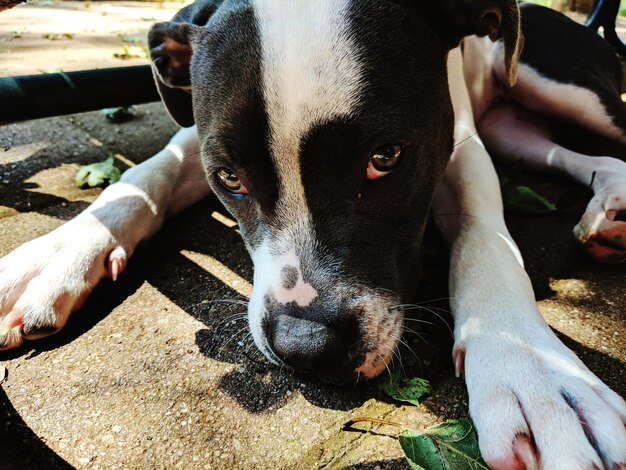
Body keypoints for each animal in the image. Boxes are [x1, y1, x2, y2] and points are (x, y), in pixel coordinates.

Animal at [1, 1, 624, 468]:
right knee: (577, 157)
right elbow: (146, 173)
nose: (306, 347)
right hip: (514, 129)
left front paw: (531, 368)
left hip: (562, 88)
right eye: (229, 178)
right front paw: (63, 249)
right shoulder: (199, 137)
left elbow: (486, 240)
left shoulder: (461, 148)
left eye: (385, 157)